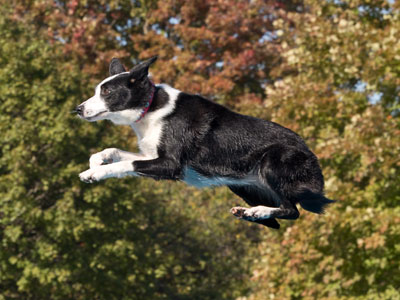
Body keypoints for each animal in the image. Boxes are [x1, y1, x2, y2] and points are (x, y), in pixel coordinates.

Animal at [76, 56, 334, 230]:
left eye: (107, 92)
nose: (77, 109)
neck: (150, 107)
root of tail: (312, 157)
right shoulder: (151, 157)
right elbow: (113, 152)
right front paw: (96, 162)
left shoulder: (170, 165)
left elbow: (122, 165)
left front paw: (93, 174)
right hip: (242, 186)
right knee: (282, 217)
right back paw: (249, 213)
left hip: (272, 161)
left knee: (292, 210)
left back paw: (258, 211)